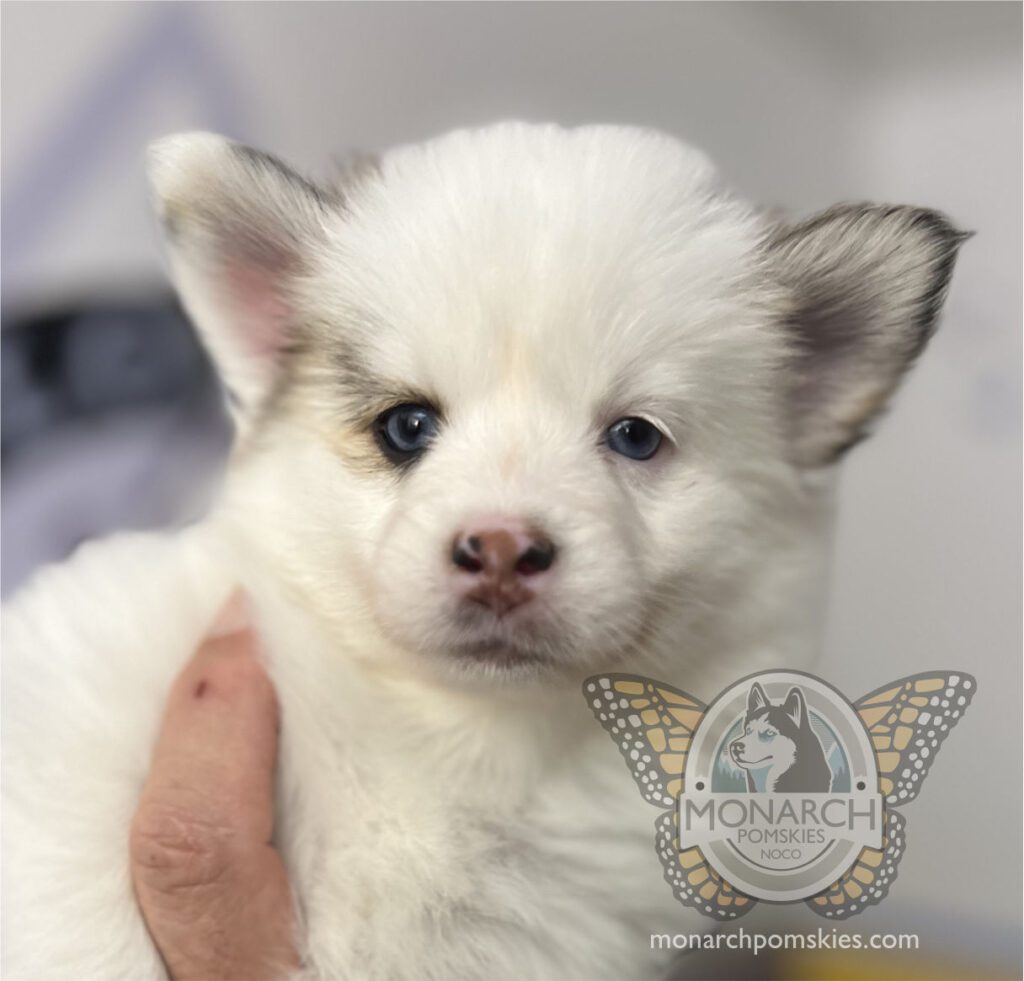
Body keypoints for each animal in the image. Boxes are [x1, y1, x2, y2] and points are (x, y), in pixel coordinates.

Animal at [2, 124, 958, 981]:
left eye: (635, 437)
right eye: (405, 426)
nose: (501, 548)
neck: (457, 737)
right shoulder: (89, 685)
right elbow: (75, 905)